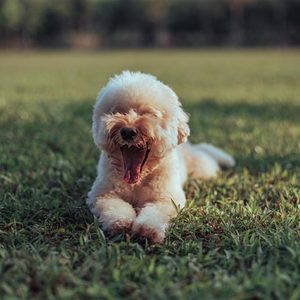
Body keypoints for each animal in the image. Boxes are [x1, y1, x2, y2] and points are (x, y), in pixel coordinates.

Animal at [86, 71, 234, 244]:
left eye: (149, 114)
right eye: (116, 111)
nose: (128, 131)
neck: (138, 181)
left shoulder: (166, 198)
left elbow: (154, 214)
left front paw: (147, 230)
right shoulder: (103, 195)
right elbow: (115, 208)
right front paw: (121, 224)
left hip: (202, 169)